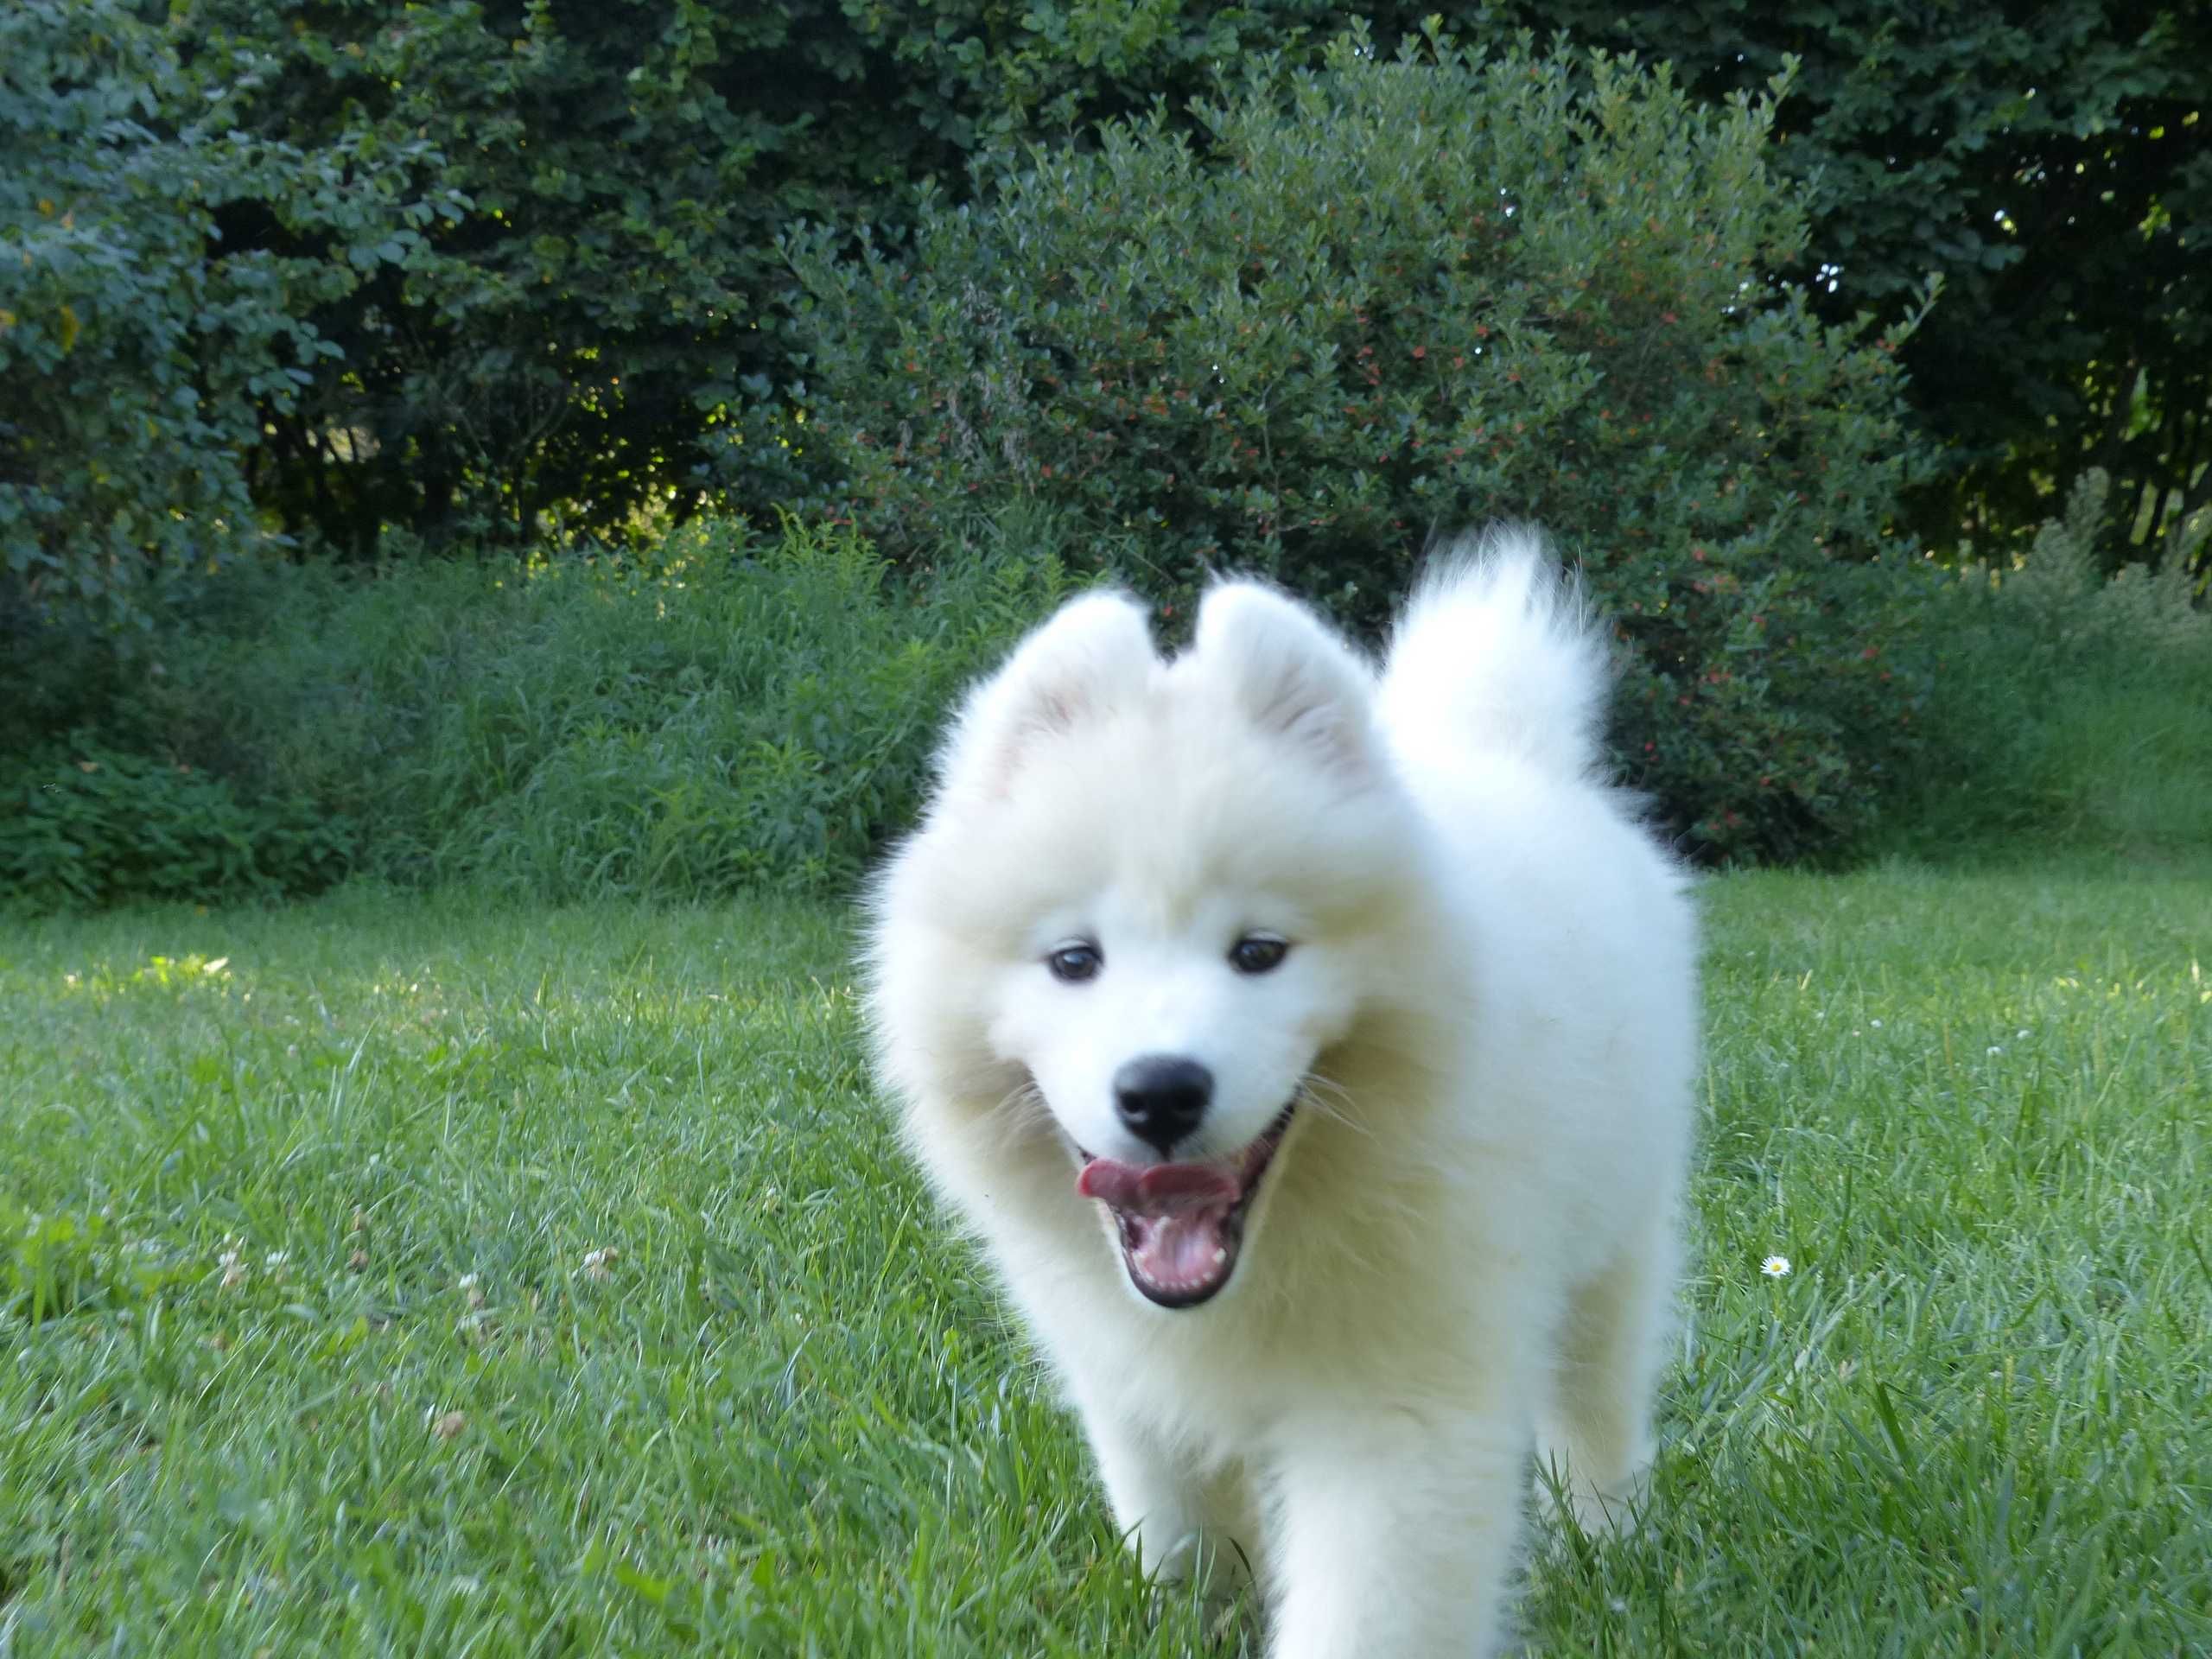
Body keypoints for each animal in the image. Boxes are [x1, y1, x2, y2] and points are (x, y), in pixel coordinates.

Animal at [858, 535, 1689, 1659]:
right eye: (1074, 961)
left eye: (1259, 953)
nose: (1161, 1091)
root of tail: (1499, 749)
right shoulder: (1128, 1379)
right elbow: (1179, 1530)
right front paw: (1195, 1619)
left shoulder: (1399, 1405)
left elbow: (1367, 1611)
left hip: (1617, 1239)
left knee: (1596, 1403)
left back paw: (1608, 1547)